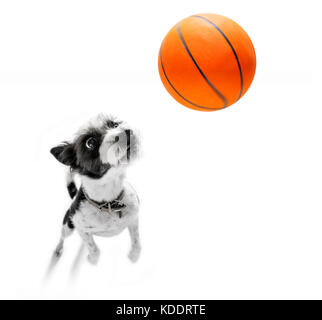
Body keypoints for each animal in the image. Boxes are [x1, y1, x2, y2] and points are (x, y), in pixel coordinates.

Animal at [50, 114, 141, 264]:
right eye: (90, 142)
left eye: (114, 125)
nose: (126, 132)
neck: (110, 203)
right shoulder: (80, 227)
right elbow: (93, 248)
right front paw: (92, 259)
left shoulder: (133, 219)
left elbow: (136, 242)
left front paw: (133, 256)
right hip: (68, 225)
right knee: (62, 237)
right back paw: (58, 249)